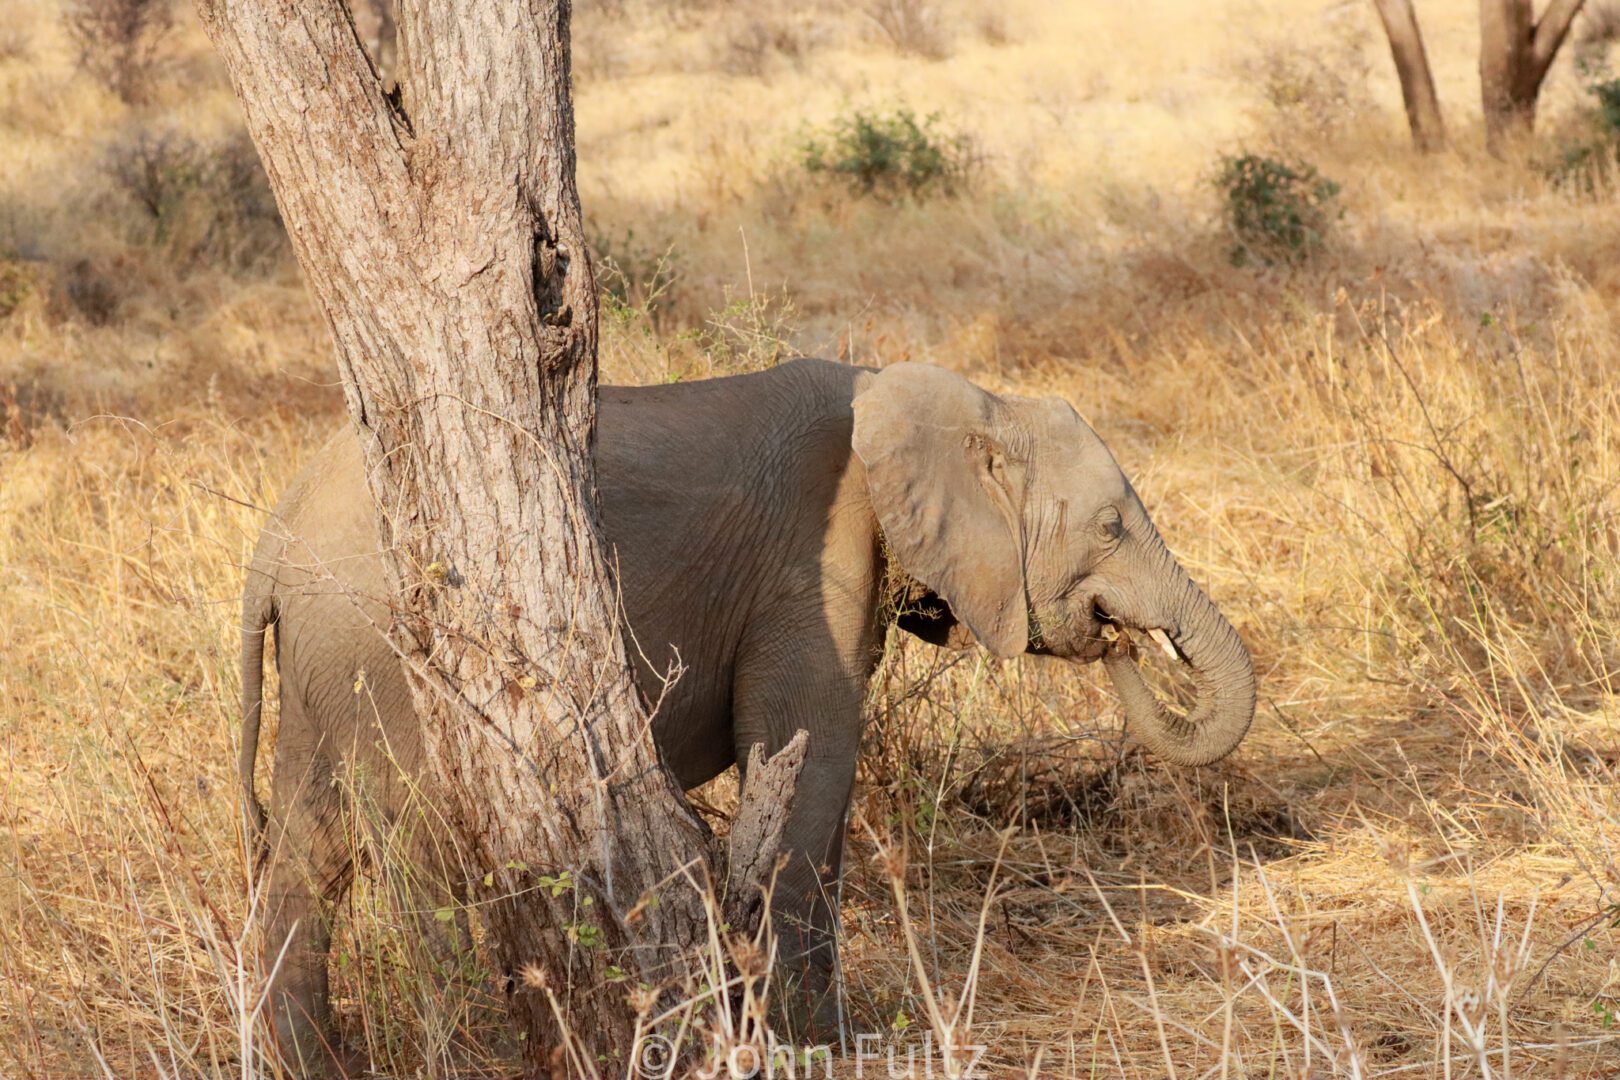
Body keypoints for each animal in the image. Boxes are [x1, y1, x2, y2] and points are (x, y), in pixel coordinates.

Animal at [236, 356, 1250, 1075]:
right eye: (1112, 527)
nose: (1121, 639)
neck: (953, 396)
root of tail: (275, 536)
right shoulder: (812, 561)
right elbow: (817, 752)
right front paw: (814, 1045)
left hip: (322, 663)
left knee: (311, 849)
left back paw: (311, 1065)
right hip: (378, 649)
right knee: (414, 845)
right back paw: (468, 1051)